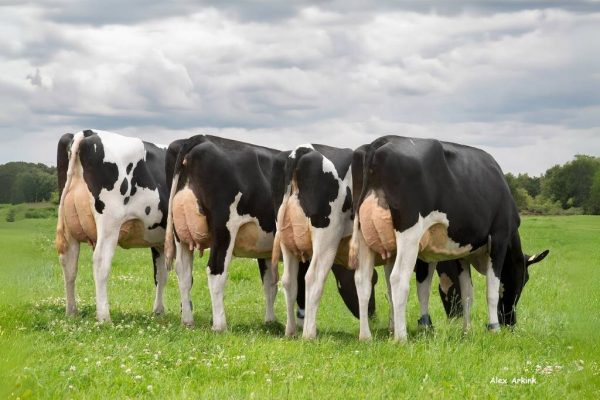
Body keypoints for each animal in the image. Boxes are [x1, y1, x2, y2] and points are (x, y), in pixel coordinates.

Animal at [55, 130, 169, 324]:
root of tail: (87, 133)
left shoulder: (158, 240)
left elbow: (160, 274)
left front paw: (158, 311)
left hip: (70, 227)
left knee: (69, 263)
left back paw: (71, 312)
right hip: (109, 223)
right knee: (100, 261)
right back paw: (104, 317)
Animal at [350, 137, 548, 340]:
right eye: (524, 279)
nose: (510, 323)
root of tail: (379, 143)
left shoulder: (460, 252)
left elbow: (461, 291)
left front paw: (465, 330)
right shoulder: (499, 237)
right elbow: (492, 289)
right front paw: (494, 328)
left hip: (364, 234)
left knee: (362, 280)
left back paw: (366, 337)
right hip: (409, 234)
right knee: (398, 279)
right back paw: (401, 337)